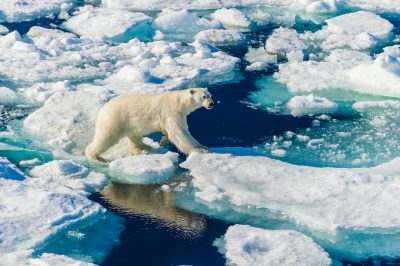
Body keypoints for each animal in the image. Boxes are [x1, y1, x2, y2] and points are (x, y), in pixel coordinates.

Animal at [84, 88, 214, 161]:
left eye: (211, 95)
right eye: (204, 96)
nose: (211, 104)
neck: (178, 102)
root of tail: (102, 110)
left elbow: (169, 131)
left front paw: (163, 141)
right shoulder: (171, 113)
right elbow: (180, 133)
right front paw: (201, 149)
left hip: (130, 124)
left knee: (135, 138)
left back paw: (145, 148)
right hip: (114, 120)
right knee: (105, 138)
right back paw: (94, 156)